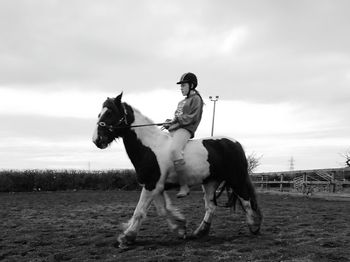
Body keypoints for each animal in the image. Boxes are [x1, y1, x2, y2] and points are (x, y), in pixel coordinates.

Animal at [91, 93, 262, 249]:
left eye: (110, 113)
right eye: (100, 113)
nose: (96, 140)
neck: (150, 147)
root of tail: (235, 143)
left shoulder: (152, 185)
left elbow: (139, 211)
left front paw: (127, 238)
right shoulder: (156, 187)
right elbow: (162, 210)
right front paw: (180, 228)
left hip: (236, 179)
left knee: (246, 201)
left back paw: (253, 227)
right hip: (210, 182)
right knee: (211, 206)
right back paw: (200, 232)